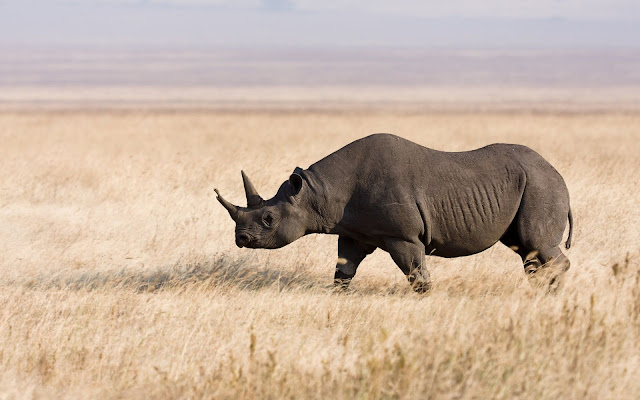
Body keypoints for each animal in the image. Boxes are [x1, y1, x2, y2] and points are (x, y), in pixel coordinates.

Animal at [216, 134, 573, 292]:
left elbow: (417, 275)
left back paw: (549, 291)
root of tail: (557, 173)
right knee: (525, 249)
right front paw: (339, 296)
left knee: (534, 242)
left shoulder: (402, 236)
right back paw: (541, 290)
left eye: (269, 220)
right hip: (532, 184)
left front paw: (425, 299)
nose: (240, 238)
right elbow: (343, 270)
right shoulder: (353, 231)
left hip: (540, 185)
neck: (317, 192)